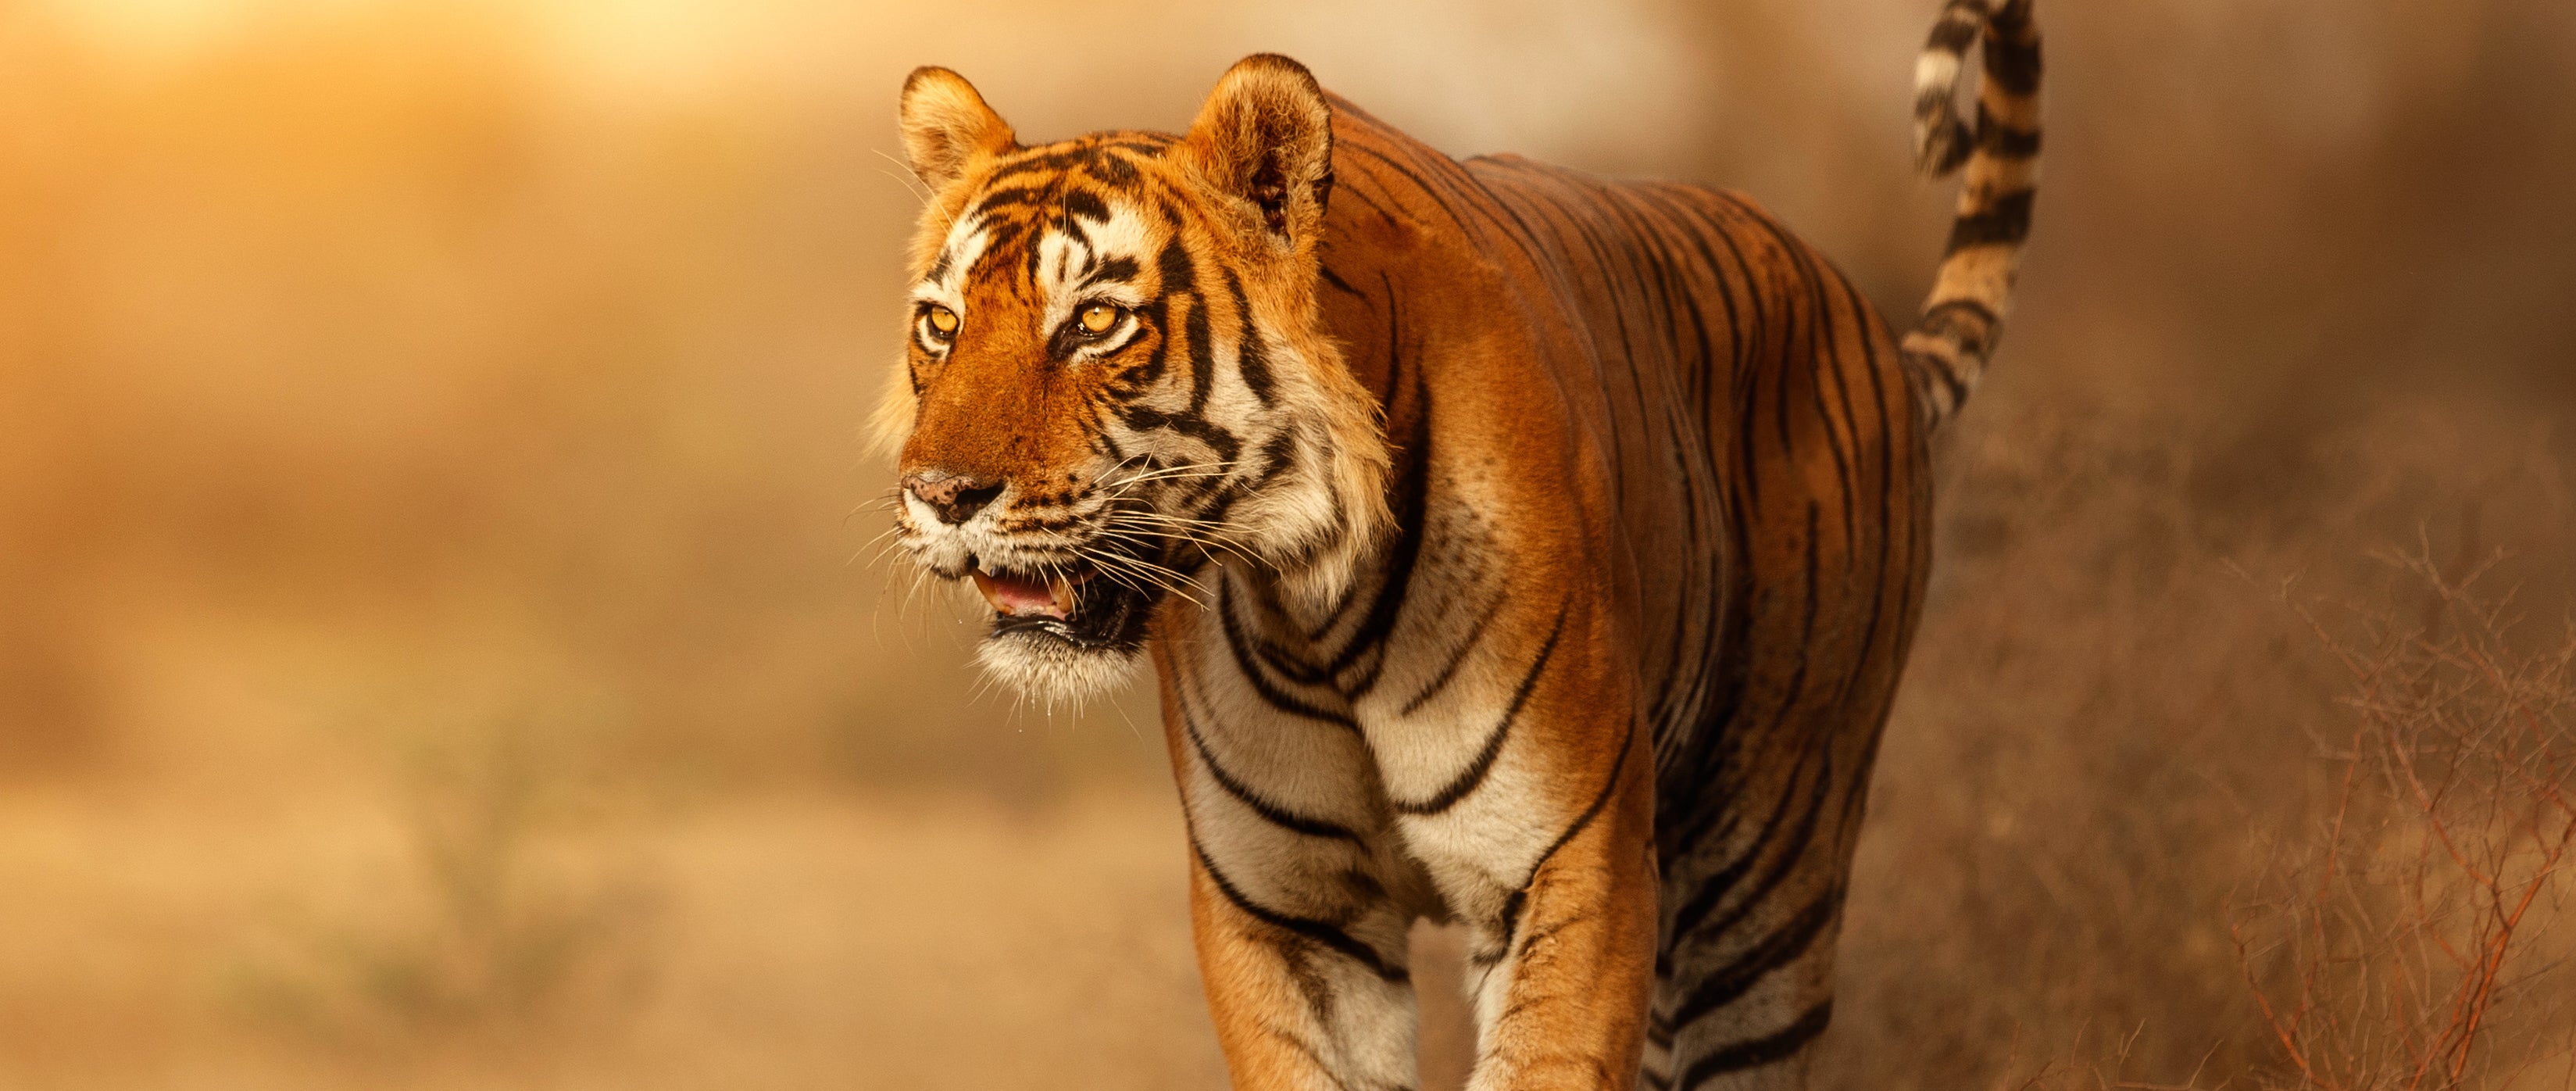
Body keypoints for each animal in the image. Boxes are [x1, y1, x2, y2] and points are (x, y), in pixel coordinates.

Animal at [875, 0, 2041, 1087]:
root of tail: (1862, 318)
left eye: (1094, 323)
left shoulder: (1573, 867)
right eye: (941, 324)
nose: (938, 494)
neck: (1309, 601)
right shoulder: (1290, 915)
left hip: (1768, 869)